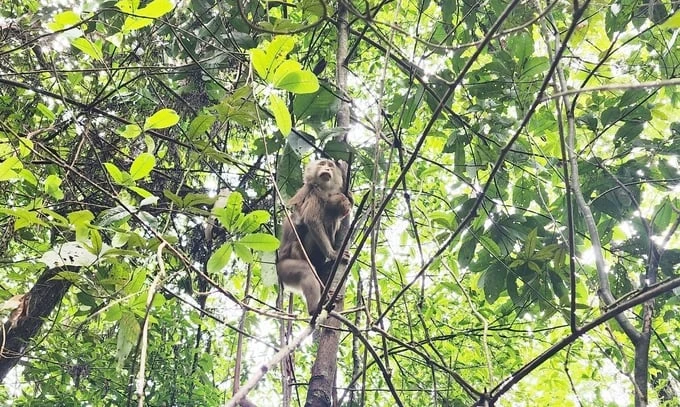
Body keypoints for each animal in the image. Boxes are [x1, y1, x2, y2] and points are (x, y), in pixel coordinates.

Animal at [276, 159, 354, 316]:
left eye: (330, 166)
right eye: (322, 164)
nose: (326, 169)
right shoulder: (315, 192)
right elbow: (312, 220)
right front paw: (334, 254)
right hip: (284, 268)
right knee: (305, 269)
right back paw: (315, 308)